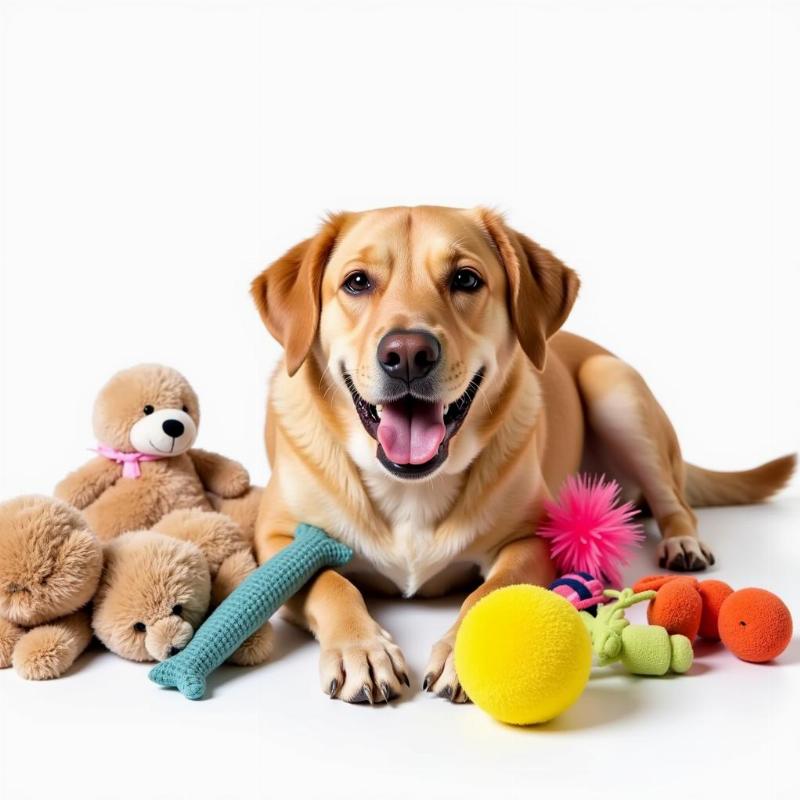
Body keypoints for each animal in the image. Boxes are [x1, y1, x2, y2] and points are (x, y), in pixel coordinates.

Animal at [250, 203, 792, 704]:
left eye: (466, 279)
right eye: (357, 282)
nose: (406, 354)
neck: (411, 486)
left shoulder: (533, 540)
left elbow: (491, 590)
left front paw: (463, 650)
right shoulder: (274, 538)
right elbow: (329, 582)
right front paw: (362, 650)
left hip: (615, 390)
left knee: (675, 501)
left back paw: (683, 542)